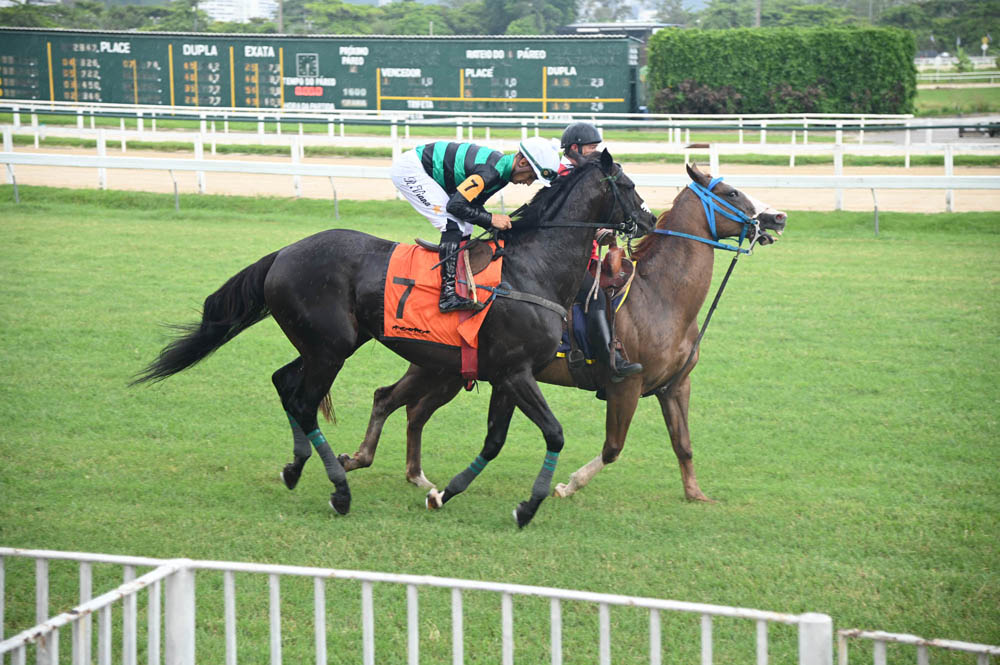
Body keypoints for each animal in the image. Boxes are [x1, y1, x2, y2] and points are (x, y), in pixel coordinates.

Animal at [133, 149, 656, 528]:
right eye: (629, 186)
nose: (650, 221)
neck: (533, 270)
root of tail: (284, 252)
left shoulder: (508, 374)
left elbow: (494, 440)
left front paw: (446, 493)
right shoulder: (514, 372)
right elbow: (553, 433)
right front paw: (527, 507)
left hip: (325, 345)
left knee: (286, 384)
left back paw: (296, 467)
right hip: (331, 349)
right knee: (304, 402)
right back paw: (339, 489)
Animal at [338, 163, 788, 502]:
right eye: (732, 192)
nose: (777, 217)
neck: (662, 296)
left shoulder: (675, 386)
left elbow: (684, 444)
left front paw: (696, 494)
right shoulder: (626, 384)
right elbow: (613, 448)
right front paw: (567, 485)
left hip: (449, 371)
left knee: (409, 409)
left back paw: (412, 474)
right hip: (438, 367)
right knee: (391, 400)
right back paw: (369, 461)